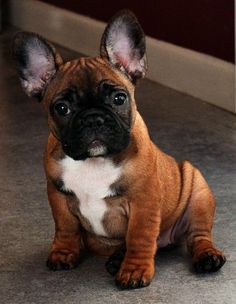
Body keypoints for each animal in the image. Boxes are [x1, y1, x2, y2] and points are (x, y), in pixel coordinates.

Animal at [12, 9, 225, 290]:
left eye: (119, 98)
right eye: (62, 108)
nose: (93, 119)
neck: (94, 161)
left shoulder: (143, 202)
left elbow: (139, 237)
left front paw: (134, 270)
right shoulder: (58, 195)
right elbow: (65, 228)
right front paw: (63, 252)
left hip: (198, 192)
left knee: (197, 236)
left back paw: (207, 257)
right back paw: (114, 258)